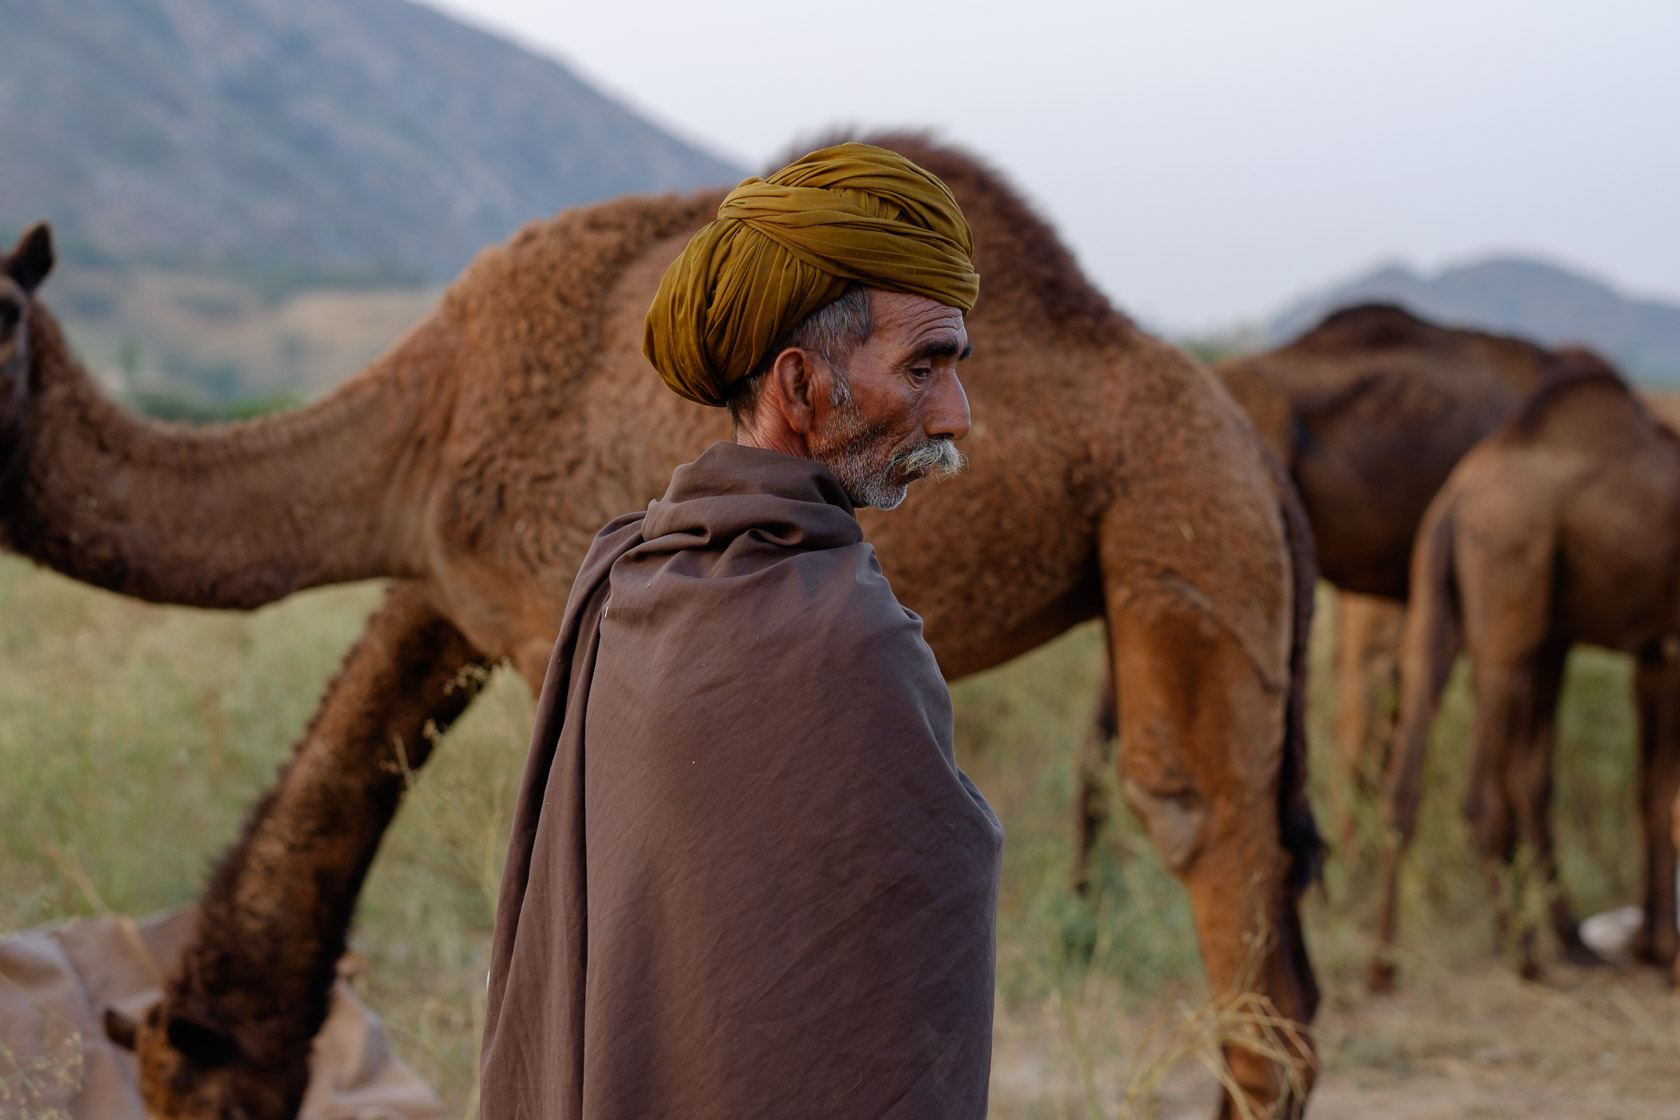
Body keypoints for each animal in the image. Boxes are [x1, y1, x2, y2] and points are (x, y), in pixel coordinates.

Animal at [0, 136, 1321, 1120]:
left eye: (183, 1084)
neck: (416, 443)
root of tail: (1256, 446)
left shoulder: (543, 616)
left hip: (1182, 511)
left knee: (1201, 832)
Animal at [1370, 359, 1680, 989]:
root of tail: (1457, 502)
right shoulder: (1666, 643)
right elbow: (1658, 792)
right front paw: (1662, 951)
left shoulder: (1631, 648)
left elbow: (1624, 787)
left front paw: (1645, 947)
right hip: (1507, 596)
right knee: (1482, 796)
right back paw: (1527, 957)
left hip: (1439, 607)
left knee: (1406, 780)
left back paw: (1383, 965)